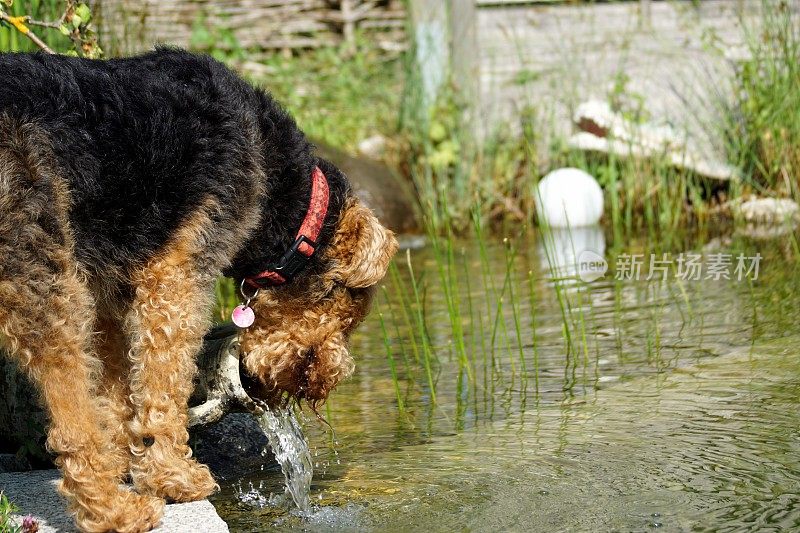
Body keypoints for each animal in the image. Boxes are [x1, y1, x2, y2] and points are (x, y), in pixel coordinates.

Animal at [0, 47, 398, 528]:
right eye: (346, 307)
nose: (322, 382)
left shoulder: (110, 286)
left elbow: (118, 393)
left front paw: (130, 462)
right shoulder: (176, 277)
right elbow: (163, 388)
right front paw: (172, 476)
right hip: (42, 276)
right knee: (71, 416)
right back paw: (115, 510)